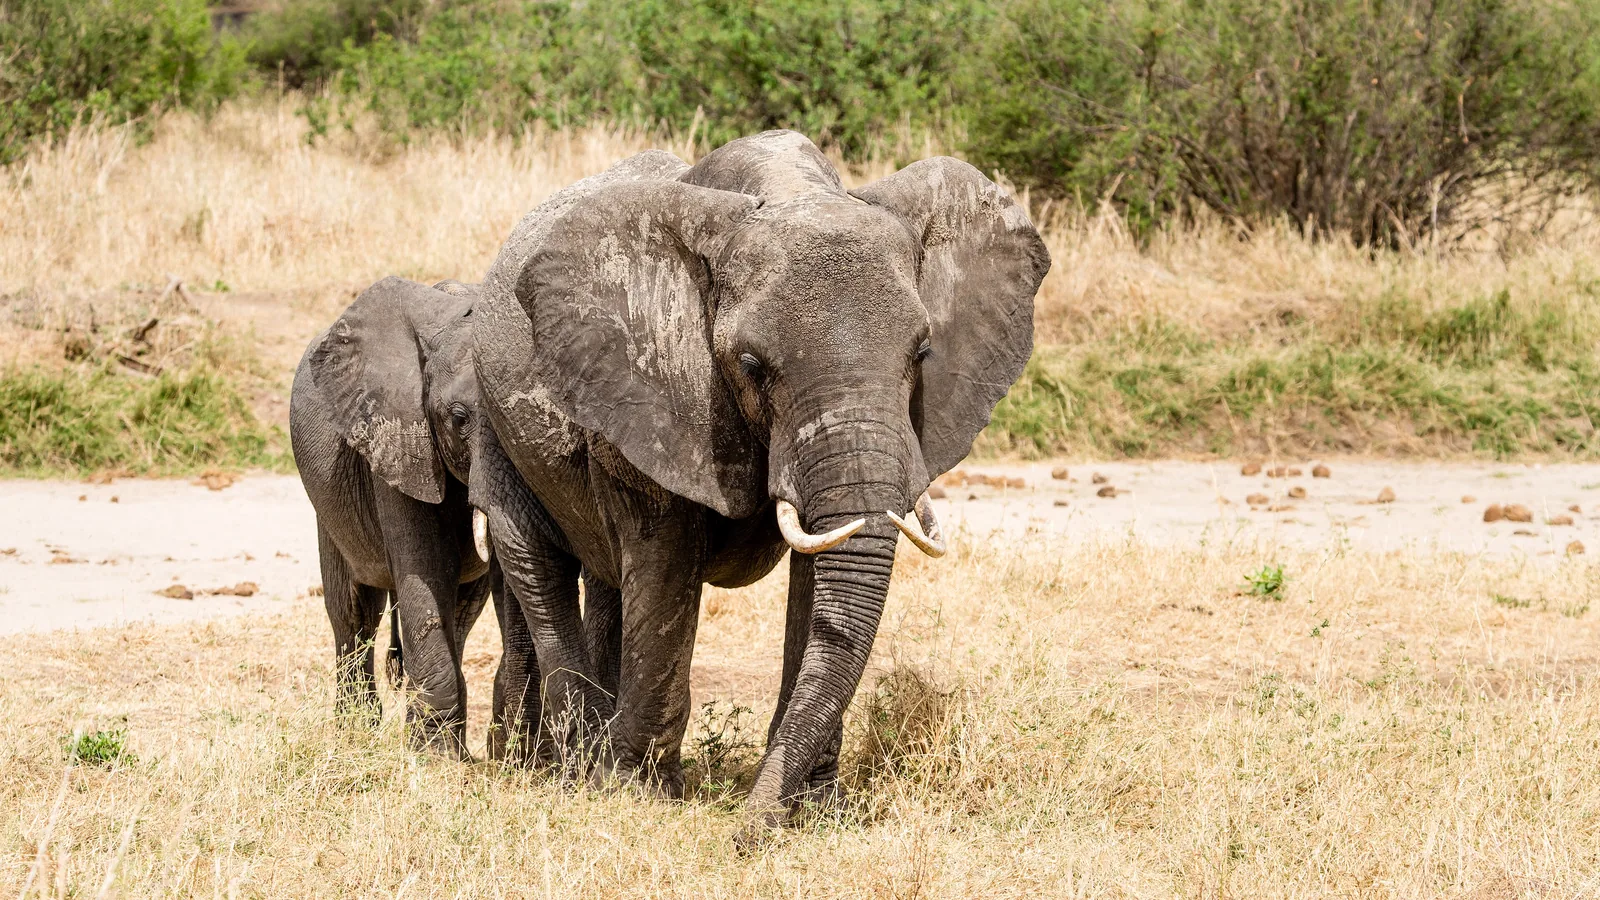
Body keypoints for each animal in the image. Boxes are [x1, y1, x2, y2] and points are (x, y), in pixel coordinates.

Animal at [290, 276, 542, 761]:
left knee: (462, 613)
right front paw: (436, 758)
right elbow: (426, 568)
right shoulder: (395, 434)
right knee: (352, 613)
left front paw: (500, 755)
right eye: (459, 418)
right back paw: (356, 734)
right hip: (328, 504)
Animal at [469, 130, 1049, 845]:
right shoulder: (656, 389)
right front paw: (638, 796)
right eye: (751, 365)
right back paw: (577, 767)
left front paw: (816, 810)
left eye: (921, 354)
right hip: (494, 417)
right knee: (534, 559)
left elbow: (820, 573)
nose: (746, 832)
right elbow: (665, 565)